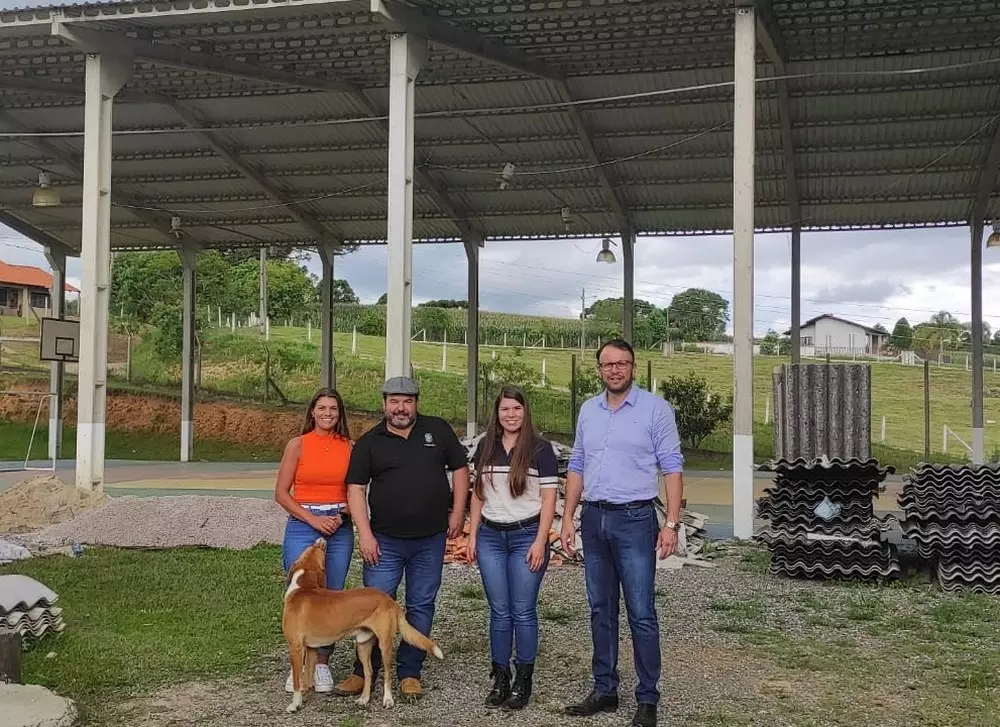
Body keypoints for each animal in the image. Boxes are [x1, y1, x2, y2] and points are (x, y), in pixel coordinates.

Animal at [278, 536, 442, 712]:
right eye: (311, 548)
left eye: (319, 550)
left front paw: (294, 704)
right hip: (363, 644)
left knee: (388, 674)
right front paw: (304, 697)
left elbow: (297, 681)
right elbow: (306, 678)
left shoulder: (296, 647)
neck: (302, 588)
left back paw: (388, 700)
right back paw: (364, 699)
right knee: (369, 672)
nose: (321, 539)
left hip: (385, 644)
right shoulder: (311, 649)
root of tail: (389, 600)